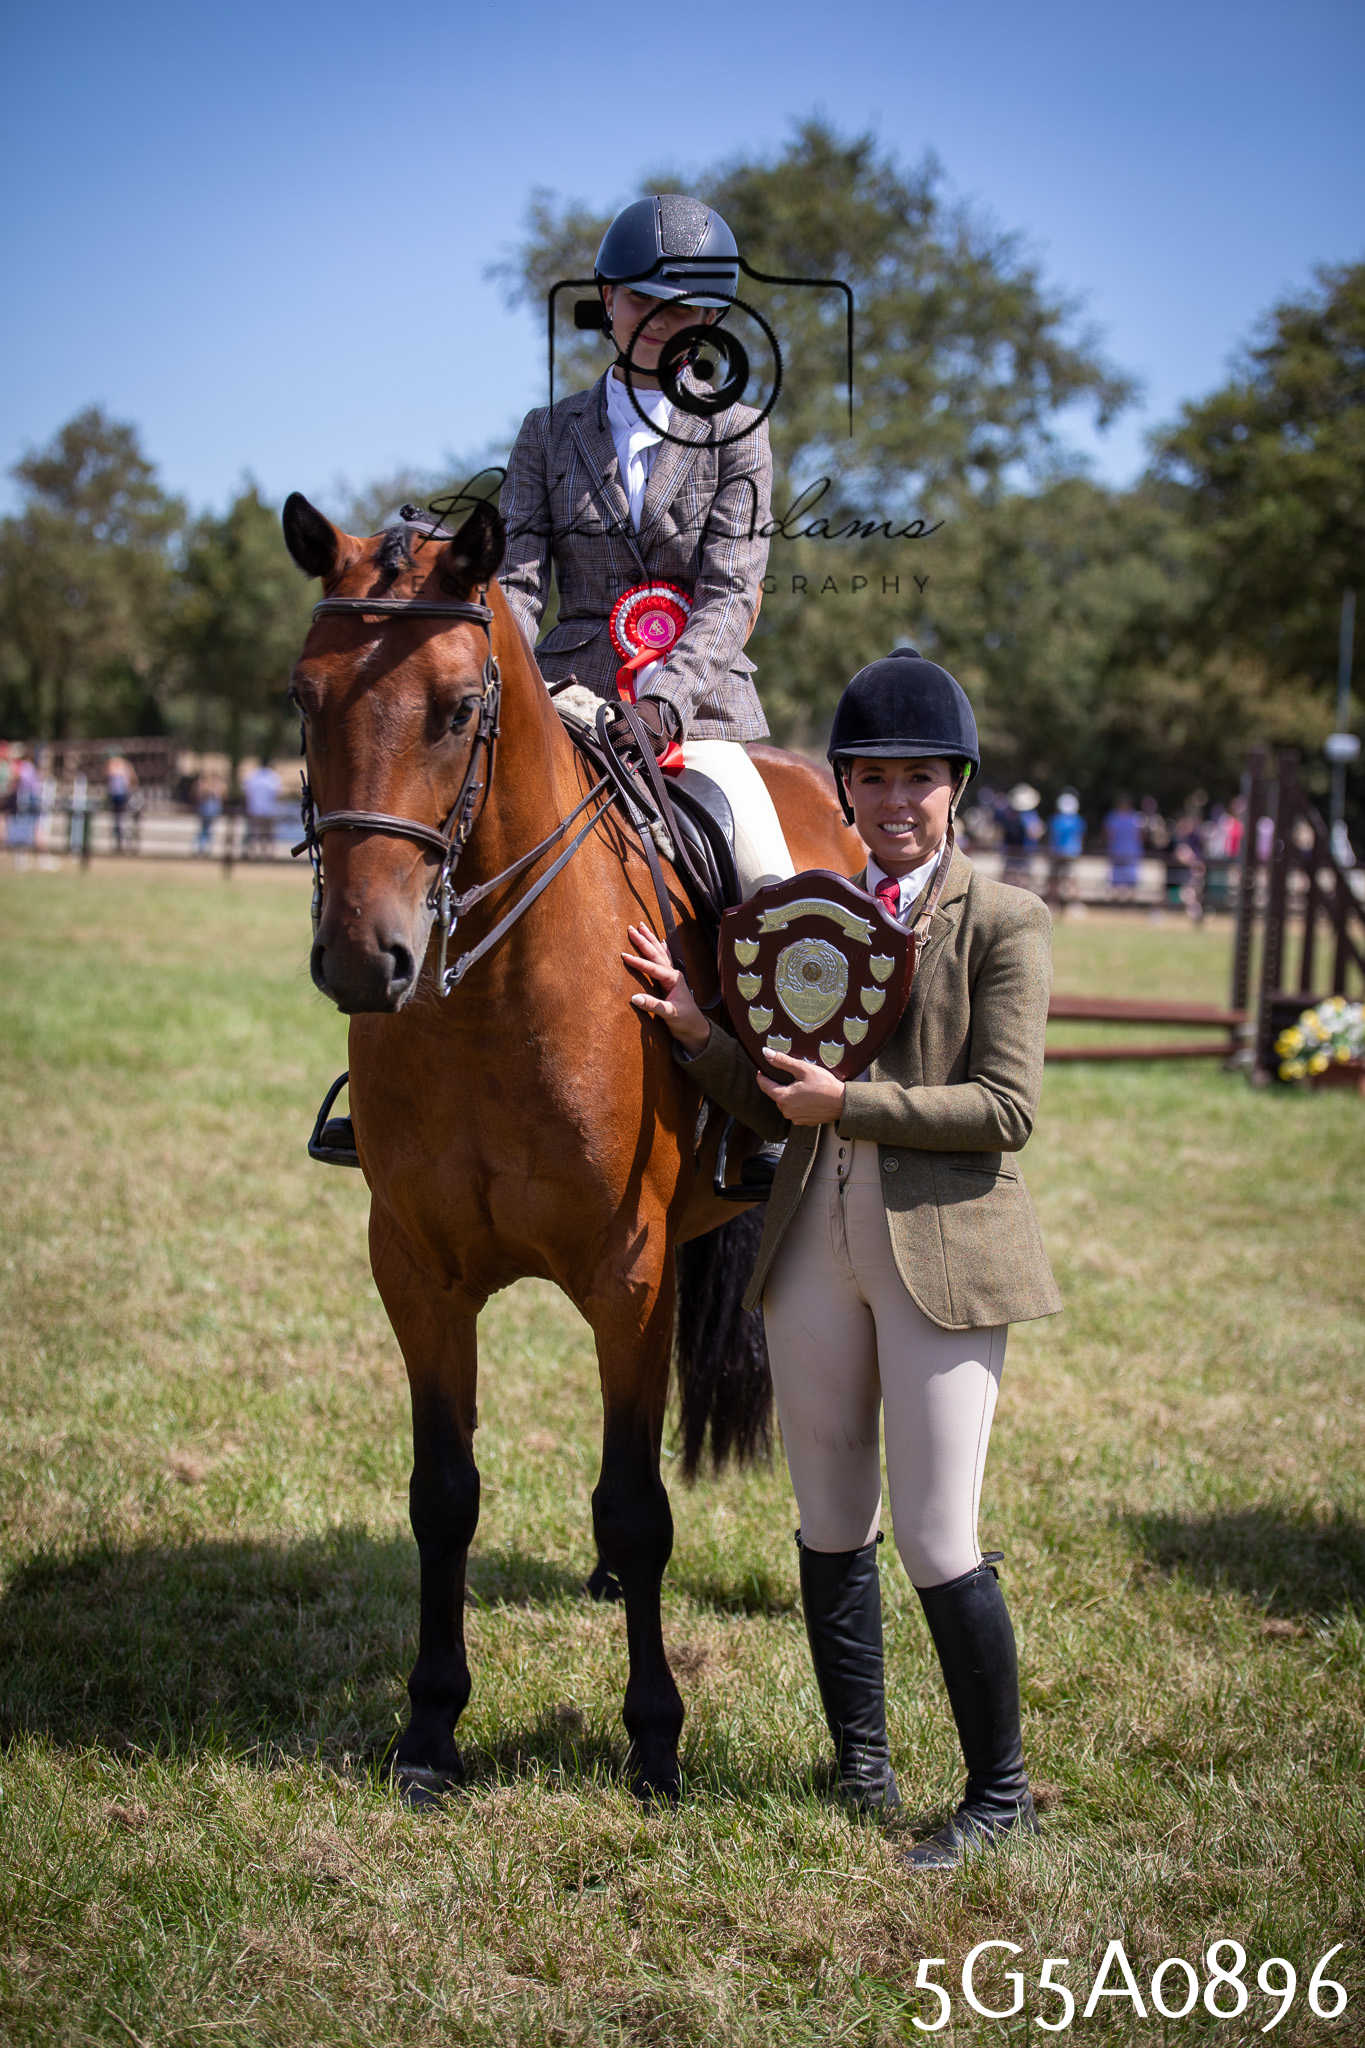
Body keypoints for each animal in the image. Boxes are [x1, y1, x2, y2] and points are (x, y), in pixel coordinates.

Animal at [281, 492, 860, 1801]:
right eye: (304, 695)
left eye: (457, 706)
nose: (364, 960)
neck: (490, 998)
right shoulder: (419, 1273)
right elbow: (444, 1496)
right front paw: (430, 1728)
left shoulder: (629, 1275)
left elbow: (639, 1503)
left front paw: (654, 1738)